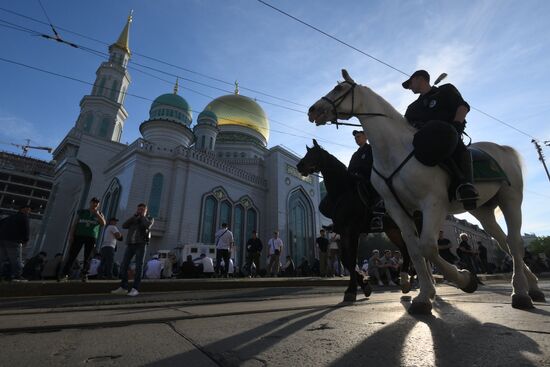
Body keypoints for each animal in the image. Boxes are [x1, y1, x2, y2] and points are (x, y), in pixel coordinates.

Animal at [298, 139, 414, 304]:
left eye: (314, 154)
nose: (299, 166)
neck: (343, 191)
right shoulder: (345, 233)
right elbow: (346, 260)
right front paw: (363, 286)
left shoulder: (352, 231)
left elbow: (351, 259)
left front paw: (352, 290)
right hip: (393, 230)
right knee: (406, 249)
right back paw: (407, 280)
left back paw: (409, 279)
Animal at [310, 69, 548, 316]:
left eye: (339, 88)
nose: (313, 110)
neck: (394, 150)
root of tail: (501, 148)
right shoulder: (398, 210)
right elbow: (415, 251)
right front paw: (425, 295)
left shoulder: (432, 203)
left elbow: (427, 247)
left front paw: (464, 280)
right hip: (483, 210)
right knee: (505, 243)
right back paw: (533, 287)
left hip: (511, 200)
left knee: (515, 242)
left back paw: (520, 292)